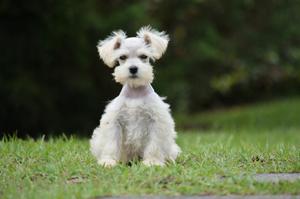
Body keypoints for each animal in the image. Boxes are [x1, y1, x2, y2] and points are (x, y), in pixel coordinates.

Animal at [89, 26, 180, 166]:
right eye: (122, 57)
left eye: (143, 56)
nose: (133, 68)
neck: (135, 92)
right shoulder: (114, 121)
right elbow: (111, 143)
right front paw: (108, 161)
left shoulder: (156, 121)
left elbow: (154, 144)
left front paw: (152, 161)